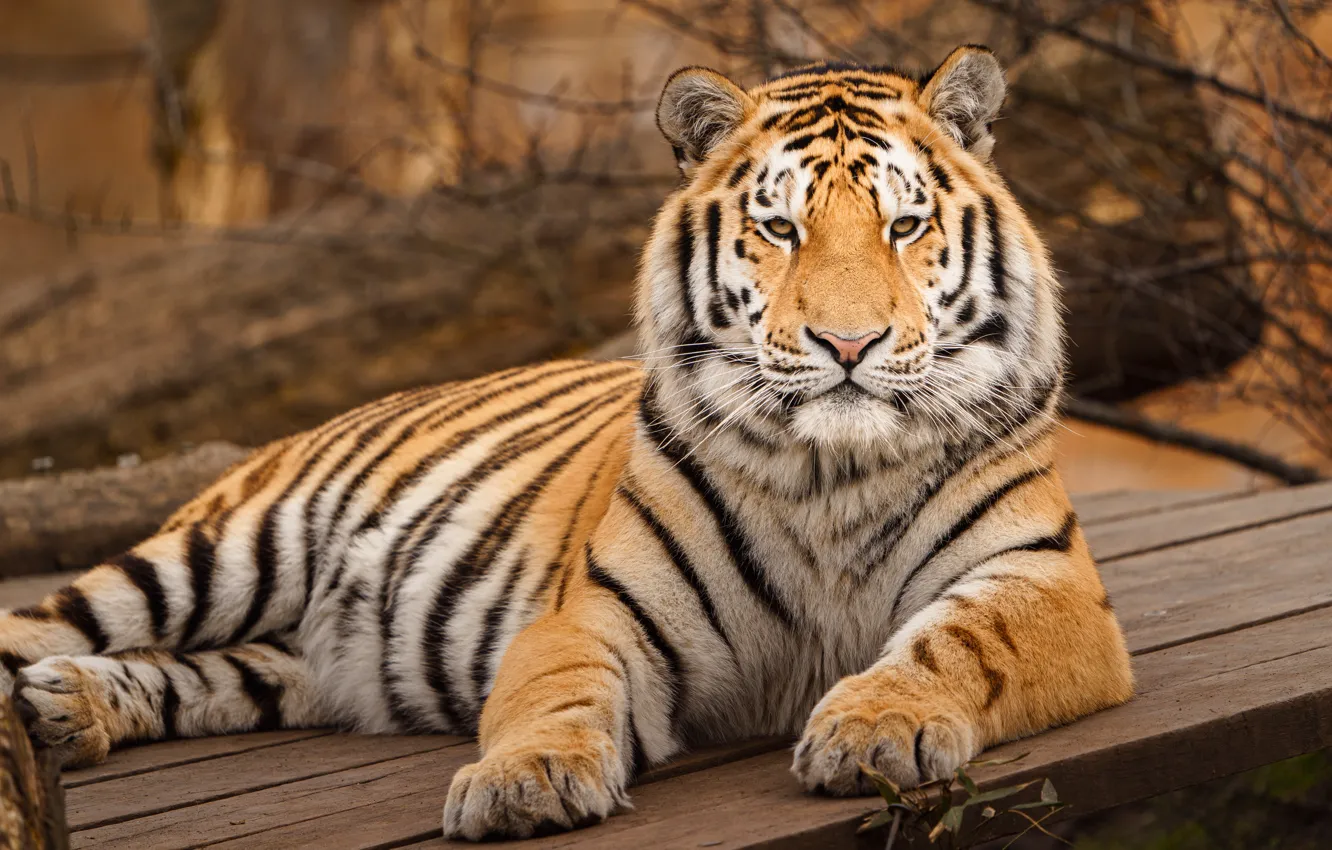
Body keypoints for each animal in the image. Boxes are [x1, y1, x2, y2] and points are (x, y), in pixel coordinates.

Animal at [0, 45, 1132, 841]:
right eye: (781, 230)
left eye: (904, 227)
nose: (848, 344)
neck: (831, 470)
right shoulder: (592, 610)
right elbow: (556, 692)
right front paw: (523, 783)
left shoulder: (1046, 582)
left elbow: (956, 640)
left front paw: (875, 725)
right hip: (219, 554)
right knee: (48, 621)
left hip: (288, 663)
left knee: (197, 674)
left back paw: (70, 711)